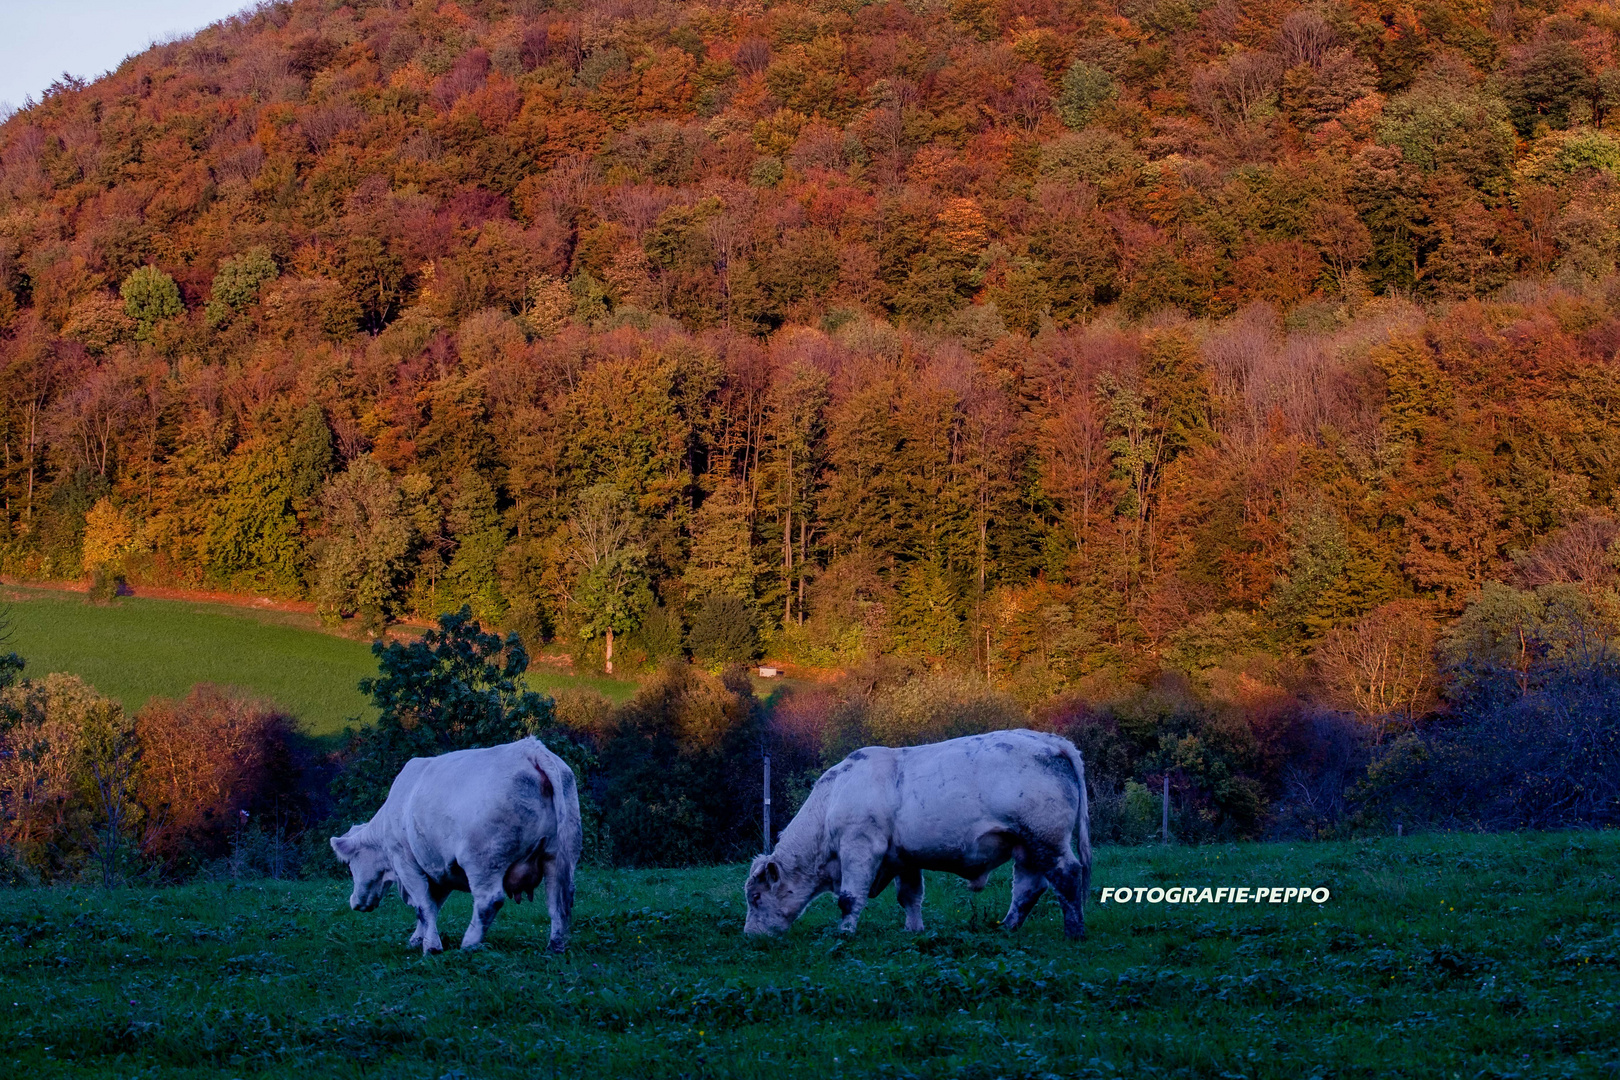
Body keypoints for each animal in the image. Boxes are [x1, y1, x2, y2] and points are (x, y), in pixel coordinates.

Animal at [328, 735, 583, 952]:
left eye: (351, 865)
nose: (354, 902)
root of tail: (531, 749)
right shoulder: (438, 870)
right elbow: (431, 906)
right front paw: (418, 939)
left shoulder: (405, 862)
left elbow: (423, 905)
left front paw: (431, 947)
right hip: (560, 854)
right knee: (559, 899)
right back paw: (556, 946)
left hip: (484, 859)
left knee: (489, 900)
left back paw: (469, 944)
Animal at [741, 731, 1095, 939]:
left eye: (755, 898)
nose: (749, 935)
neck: (833, 798)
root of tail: (1051, 741)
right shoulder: (904, 858)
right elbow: (910, 896)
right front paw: (914, 931)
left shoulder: (859, 846)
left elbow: (848, 898)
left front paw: (844, 933)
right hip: (1026, 847)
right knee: (1027, 887)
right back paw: (1006, 927)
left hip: (1045, 839)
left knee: (1066, 876)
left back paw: (1074, 931)